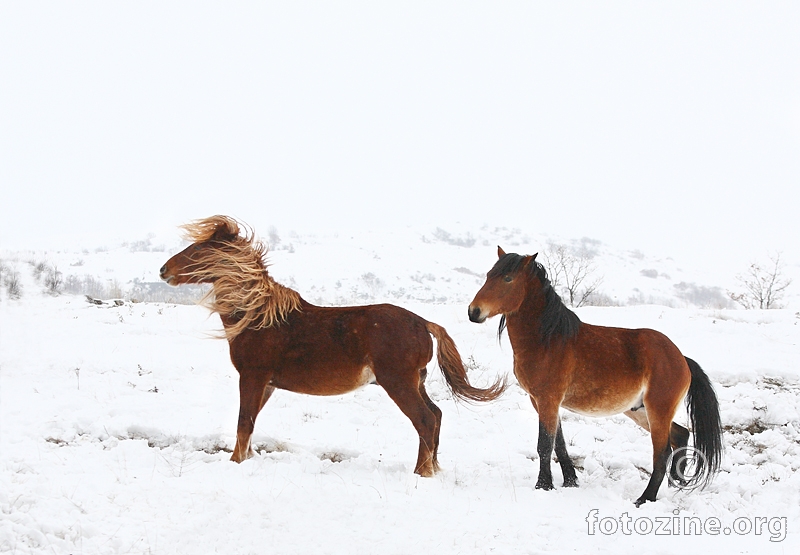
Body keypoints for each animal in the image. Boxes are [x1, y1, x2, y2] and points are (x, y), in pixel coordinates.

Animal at [159, 215, 504, 476]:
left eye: (197, 251)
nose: (164, 270)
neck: (259, 317)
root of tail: (423, 323)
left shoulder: (253, 376)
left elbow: (244, 423)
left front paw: (235, 464)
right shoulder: (266, 384)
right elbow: (251, 425)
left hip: (398, 382)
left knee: (425, 420)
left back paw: (421, 473)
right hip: (415, 382)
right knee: (436, 416)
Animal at [468, 250, 724, 506]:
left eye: (508, 278)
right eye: (489, 275)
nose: (474, 311)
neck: (548, 340)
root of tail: (682, 359)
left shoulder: (548, 400)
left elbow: (545, 445)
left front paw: (543, 486)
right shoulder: (543, 402)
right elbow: (559, 444)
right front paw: (570, 481)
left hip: (657, 411)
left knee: (662, 453)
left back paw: (644, 499)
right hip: (640, 411)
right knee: (681, 434)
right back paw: (676, 483)